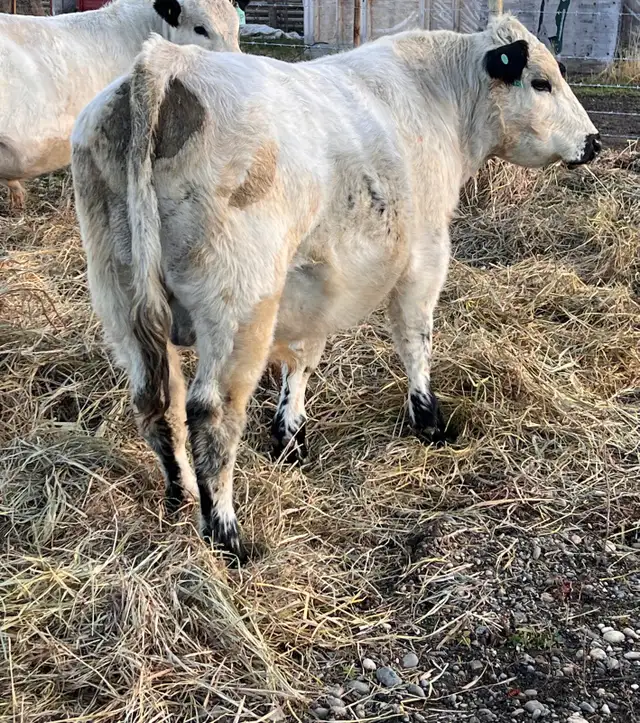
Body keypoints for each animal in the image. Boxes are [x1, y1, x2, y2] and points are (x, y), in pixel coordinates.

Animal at [71, 14, 601, 563]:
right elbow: (415, 340)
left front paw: (290, 437)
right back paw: (227, 533)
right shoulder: (424, 255)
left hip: (123, 301)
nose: (594, 141)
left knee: (156, 401)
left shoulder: (312, 284)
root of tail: (167, 64)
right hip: (239, 307)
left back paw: (181, 496)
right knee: (210, 411)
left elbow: (301, 359)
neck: (442, 96)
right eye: (541, 81)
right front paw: (429, 421)